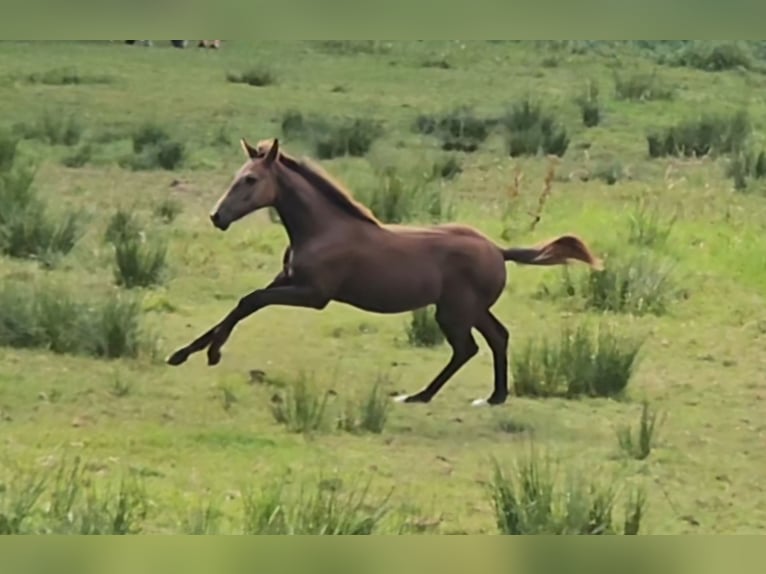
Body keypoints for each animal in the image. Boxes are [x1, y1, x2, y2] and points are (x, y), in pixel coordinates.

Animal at [170, 138, 608, 410]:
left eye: (251, 179)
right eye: (236, 176)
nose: (217, 216)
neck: (323, 228)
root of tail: (498, 250)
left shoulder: (313, 294)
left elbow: (251, 301)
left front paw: (212, 353)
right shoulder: (286, 280)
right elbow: (240, 304)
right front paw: (182, 353)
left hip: (453, 313)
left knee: (467, 349)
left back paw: (419, 396)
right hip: (472, 309)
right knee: (498, 337)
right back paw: (494, 397)